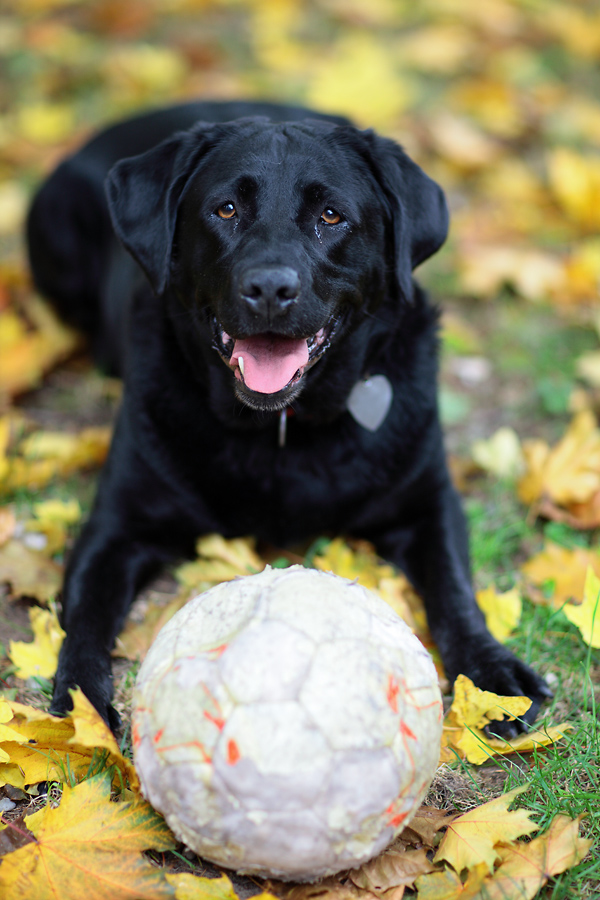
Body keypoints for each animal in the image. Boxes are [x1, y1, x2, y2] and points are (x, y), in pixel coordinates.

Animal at [25, 100, 552, 732]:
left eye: (331, 215)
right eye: (225, 209)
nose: (271, 288)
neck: (282, 428)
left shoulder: (429, 502)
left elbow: (454, 590)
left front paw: (494, 677)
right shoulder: (117, 524)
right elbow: (86, 611)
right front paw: (82, 706)